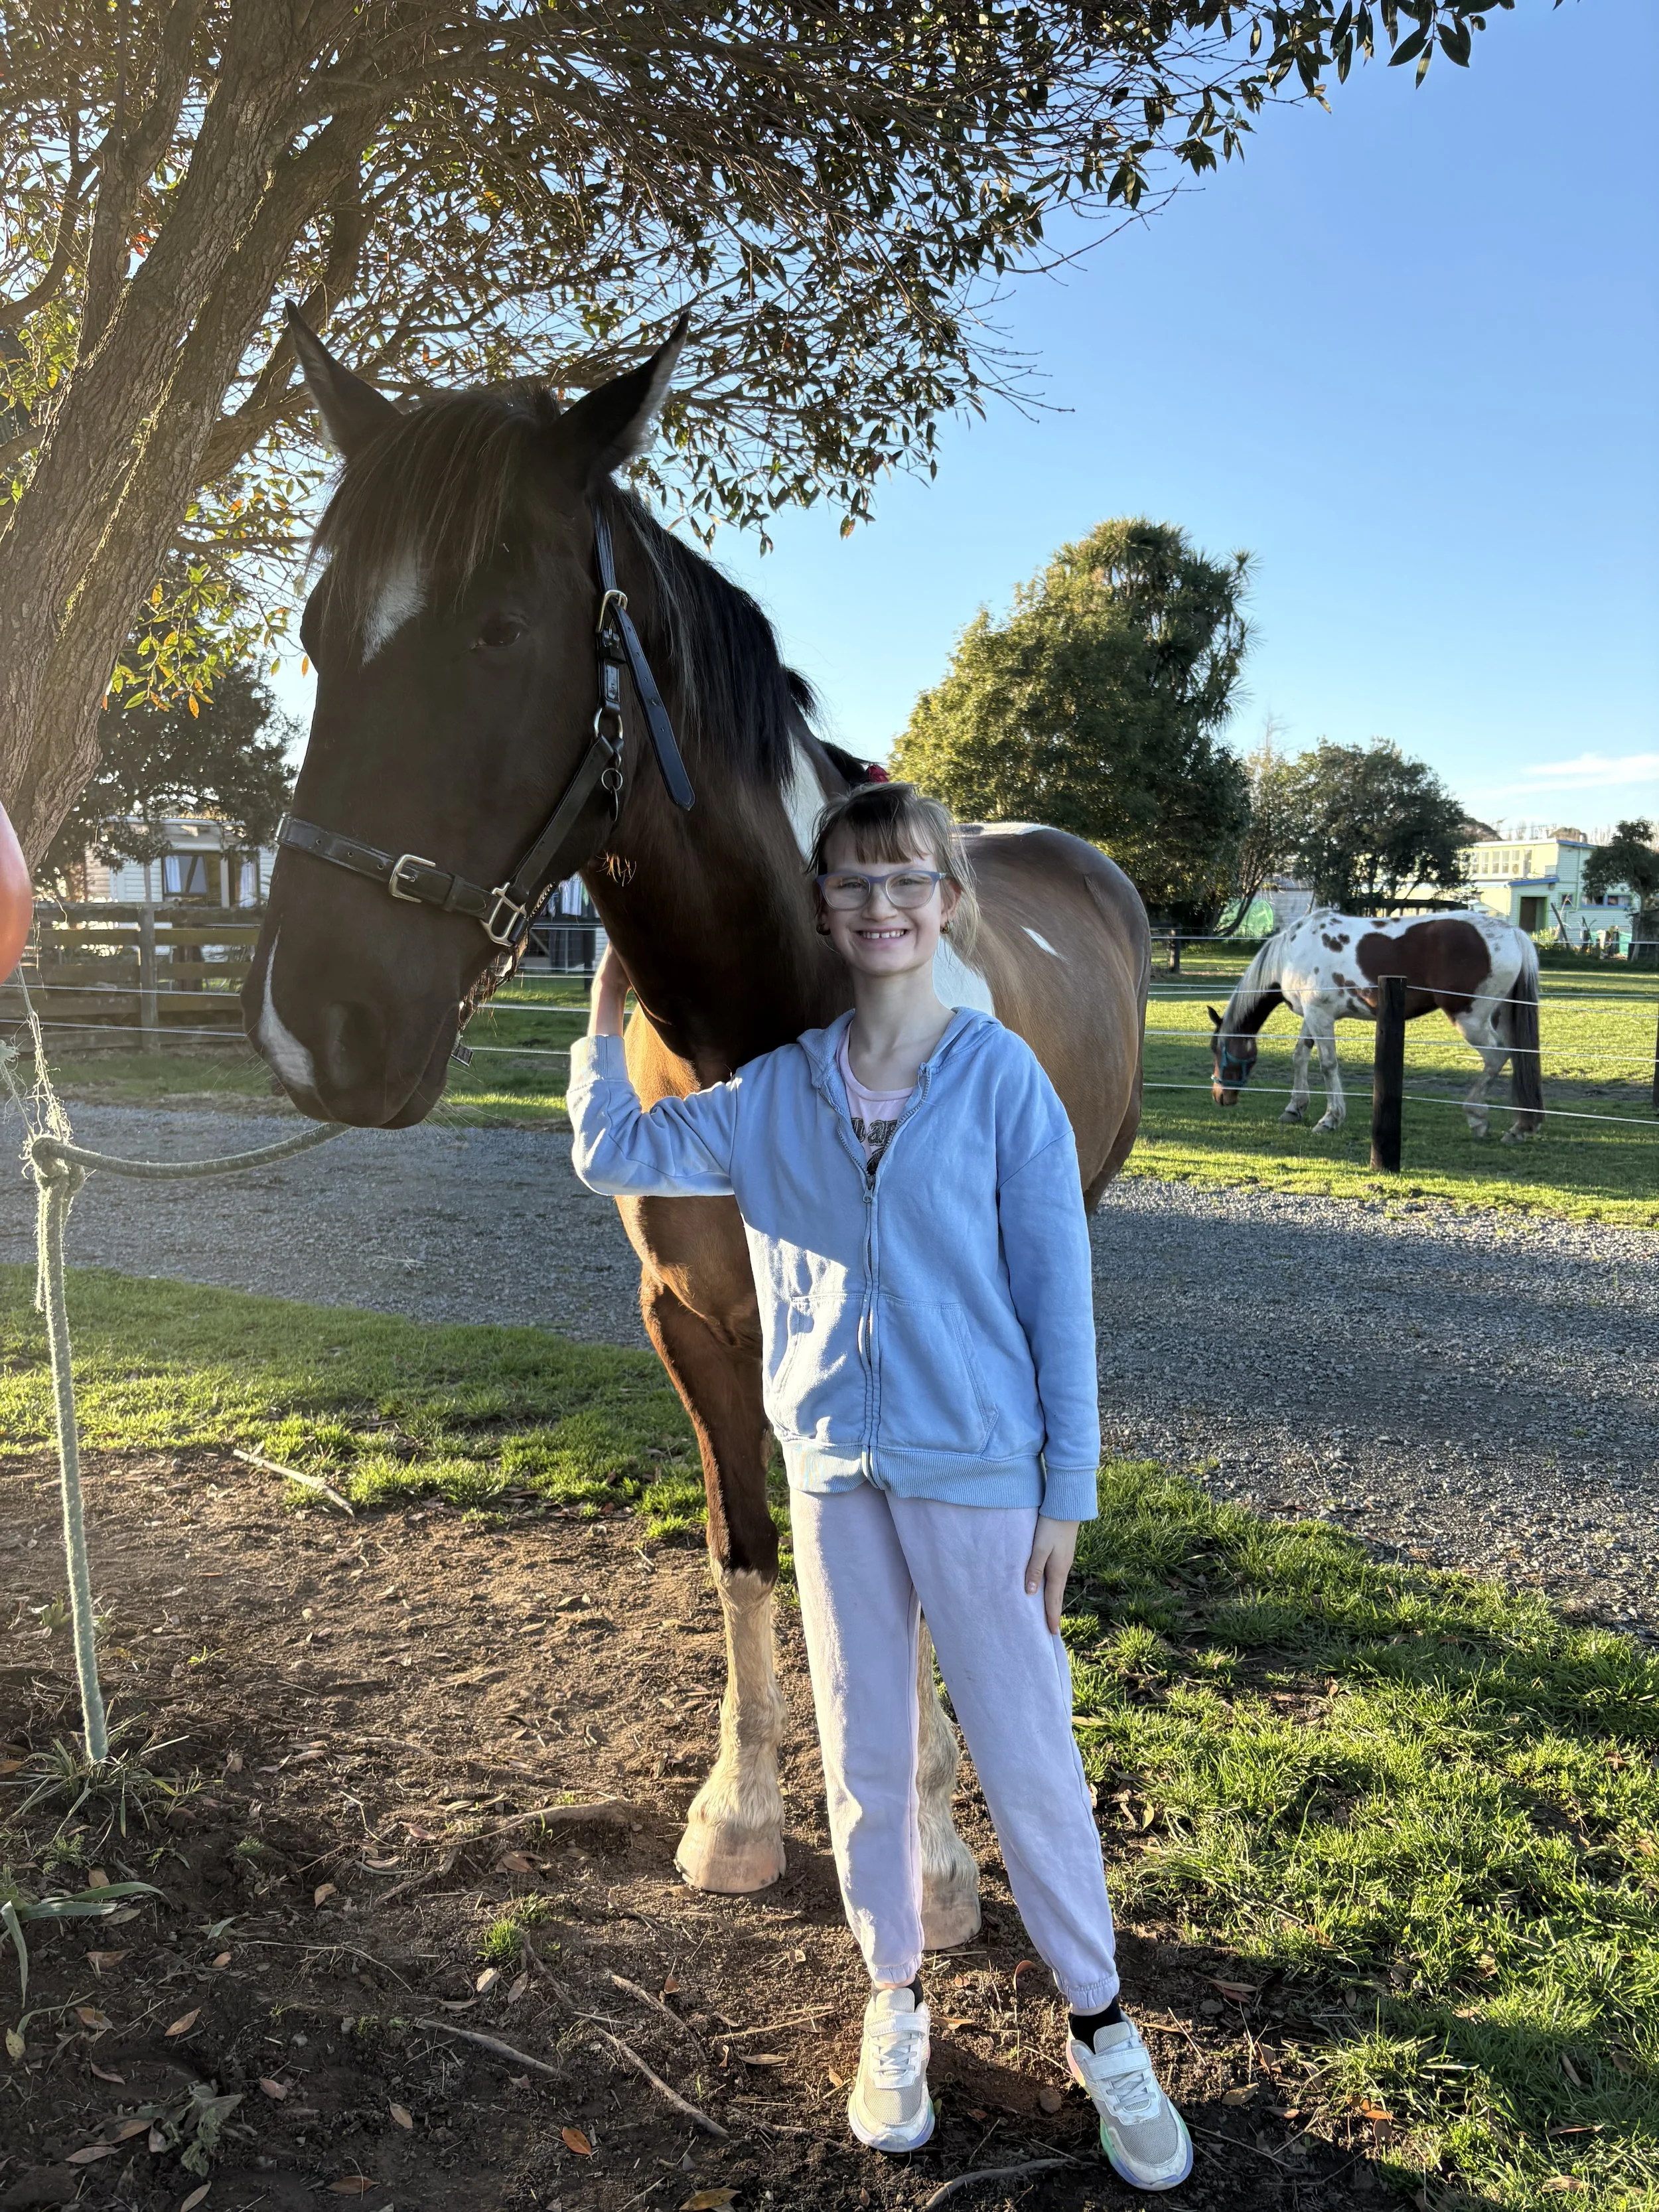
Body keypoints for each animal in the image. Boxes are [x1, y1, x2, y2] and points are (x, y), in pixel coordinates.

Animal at [242, 312, 1150, 1947]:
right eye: (314, 631)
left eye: (499, 629)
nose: (312, 1025)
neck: (779, 1015)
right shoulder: (692, 1318)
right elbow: (746, 1544)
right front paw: (742, 1813)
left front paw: (931, 1854)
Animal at [1206, 909, 1545, 1141]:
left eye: (1218, 1050)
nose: (1220, 1096)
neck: (1292, 953)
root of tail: (1513, 933)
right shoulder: (1313, 1016)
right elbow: (1299, 1057)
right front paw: (1294, 1108)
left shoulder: (1320, 1017)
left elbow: (1328, 1065)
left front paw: (1330, 1119)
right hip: (1502, 1015)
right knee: (1517, 1057)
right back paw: (1520, 1126)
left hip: (1469, 1019)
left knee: (1497, 1056)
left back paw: (1478, 1117)